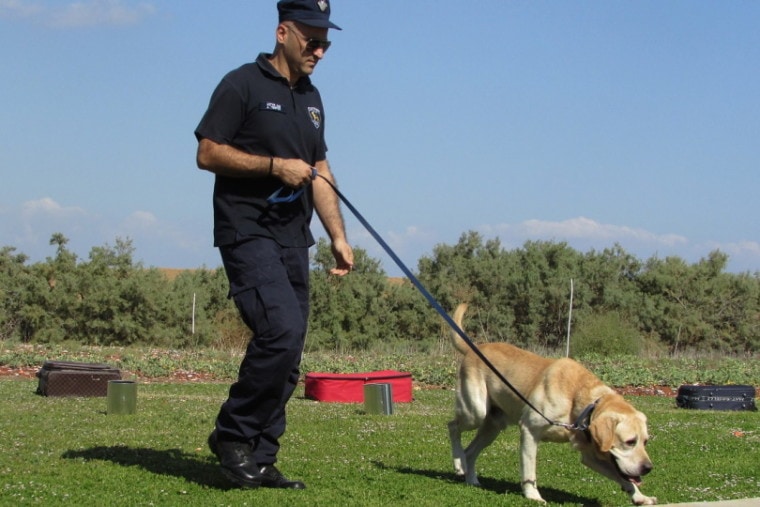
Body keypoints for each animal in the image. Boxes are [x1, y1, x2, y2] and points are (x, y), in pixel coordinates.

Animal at [448, 304, 656, 506]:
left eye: (645, 441)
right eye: (630, 441)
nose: (648, 468)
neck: (579, 400)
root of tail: (474, 348)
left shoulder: (591, 455)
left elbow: (625, 479)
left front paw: (640, 497)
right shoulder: (530, 430)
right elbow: (529, 470)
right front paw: (532, 495)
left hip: (493, 426)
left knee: (470, 451)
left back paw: (470, 477)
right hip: (475, 412)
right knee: (453, 426)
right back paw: (458, 463)